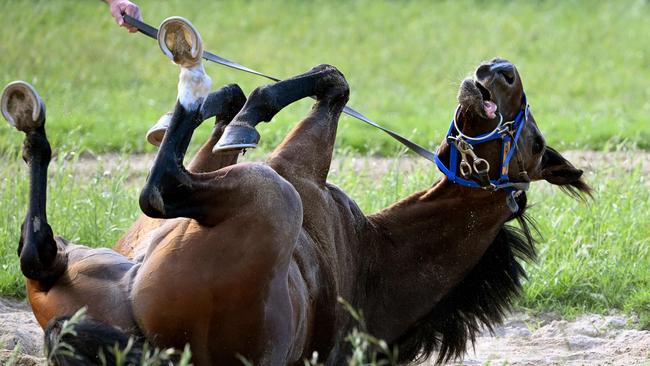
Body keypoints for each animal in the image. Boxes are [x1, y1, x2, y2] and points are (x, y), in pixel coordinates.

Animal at [2, 16, 588, 366]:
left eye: (535, 144)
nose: (501, 68)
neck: (371, 258)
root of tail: (152, 349)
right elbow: (248, 108)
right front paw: (225, 104)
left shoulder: (293, 169)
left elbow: (327, 84)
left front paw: (241, 111)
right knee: (42, 251)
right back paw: (37, 129)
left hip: (271, 197)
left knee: (159, 190)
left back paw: (184, 79)